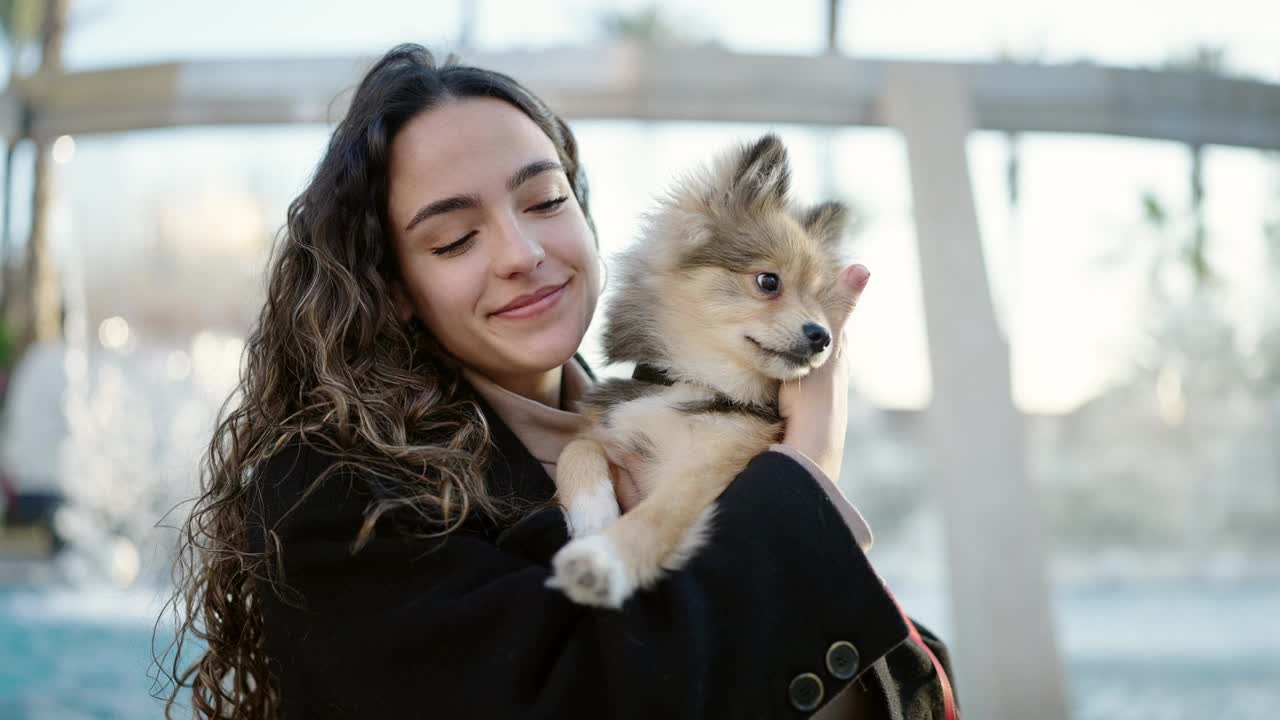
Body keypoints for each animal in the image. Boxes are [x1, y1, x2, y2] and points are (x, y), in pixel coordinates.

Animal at [547, 133, 855, 604]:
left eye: (821, 304)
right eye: (768, 282)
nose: (821, 336)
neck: (698, 380)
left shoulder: (709, 467)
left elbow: (656, 517)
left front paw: (600, 561)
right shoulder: (608, 429)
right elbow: (575, 449)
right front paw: (593, 517)